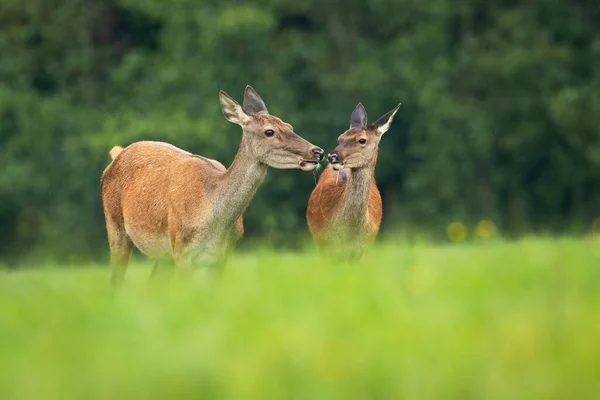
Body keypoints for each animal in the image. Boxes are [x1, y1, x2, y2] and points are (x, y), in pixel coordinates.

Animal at [101, 85, 324, 282]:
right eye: (269, 131)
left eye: (289, 126)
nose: (317, 151)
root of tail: (116, 154)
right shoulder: (182, 250)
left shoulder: (222, 256)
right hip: (116, 226)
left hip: (162, 255)